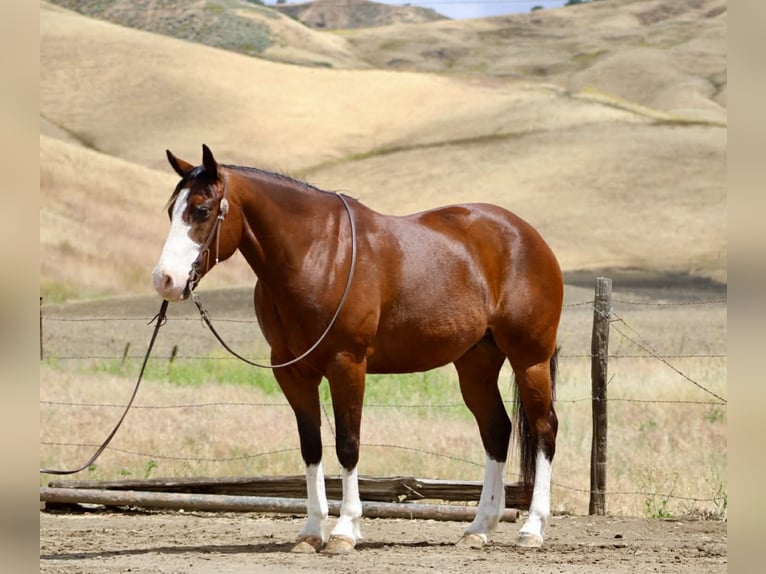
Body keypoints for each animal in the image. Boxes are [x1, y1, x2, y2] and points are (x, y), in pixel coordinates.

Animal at [152, 145, 563, 554]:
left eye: (202, 209)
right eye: (171, 210)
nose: (165, 280)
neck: (316, 255)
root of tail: (527, 235)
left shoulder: (346, 363)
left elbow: (347, 445)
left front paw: (344, 530)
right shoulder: (292, 371)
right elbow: (311, 447)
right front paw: (310, 531)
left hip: (530, 360)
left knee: (544, 429)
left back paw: (532, 529)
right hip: (476, 364)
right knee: (496, 431)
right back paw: (479, 527)